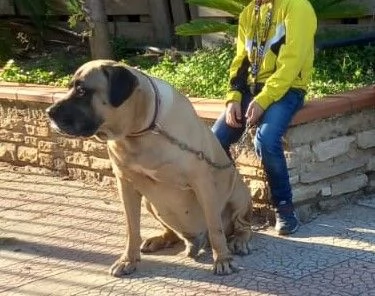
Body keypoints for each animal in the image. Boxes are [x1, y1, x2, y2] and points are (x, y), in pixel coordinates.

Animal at [47, 59, 253, 276]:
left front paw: (222, 259)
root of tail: (196, 238)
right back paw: (160, 239)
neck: (141, 130)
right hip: (149, 202)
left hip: (239, 194)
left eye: (82, 91)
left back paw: (239, 241)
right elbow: (131, 228)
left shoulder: (202, 183)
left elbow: (215, 227)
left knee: (241, 226)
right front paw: (128, 259)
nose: (49, 112)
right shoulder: (125, 184)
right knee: (173, 232)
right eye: (71, 87)